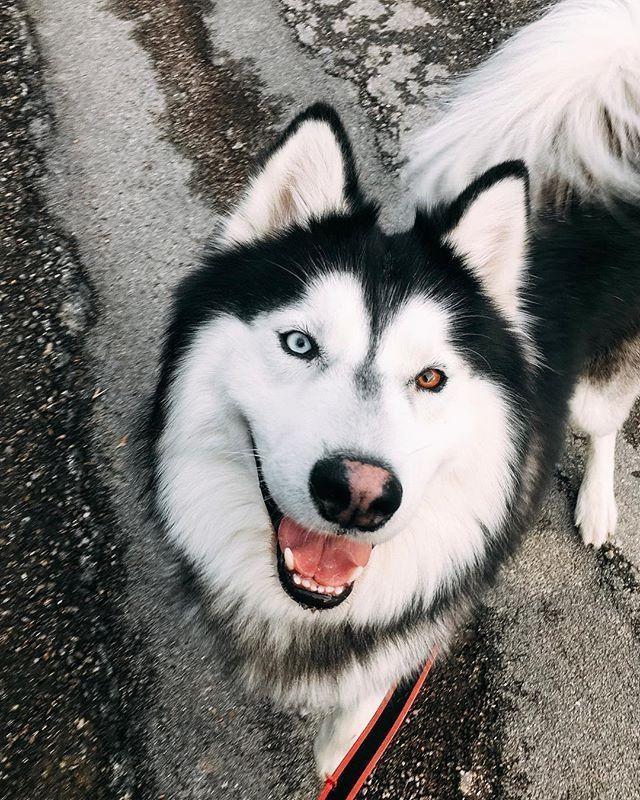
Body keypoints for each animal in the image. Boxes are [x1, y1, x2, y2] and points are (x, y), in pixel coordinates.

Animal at [148, 0, 640, 780]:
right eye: (300, 344)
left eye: (431, 377)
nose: (359, 495)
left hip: (596, 386)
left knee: (603, 426)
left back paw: (596, 506)